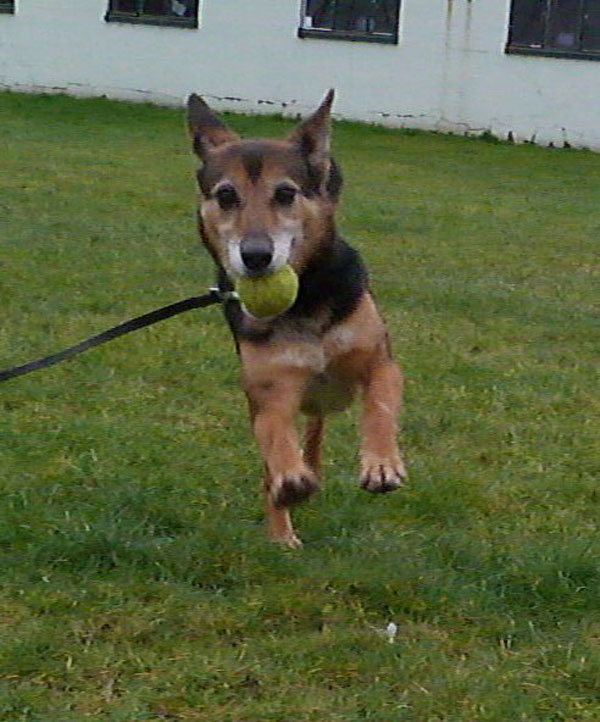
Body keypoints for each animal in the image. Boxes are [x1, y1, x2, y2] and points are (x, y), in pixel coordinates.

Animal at [185, 88, 406, 544]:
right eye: (226, 196)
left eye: (286, 194)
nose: (255, 256)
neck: (303, 301)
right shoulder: (268, 391)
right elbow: (275, 433)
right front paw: (290, 479)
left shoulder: (381, 361)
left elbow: (379, 401)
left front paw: (380, 464)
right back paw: (283, 528)